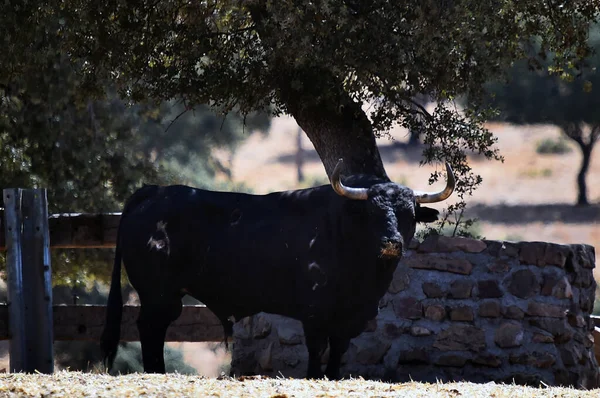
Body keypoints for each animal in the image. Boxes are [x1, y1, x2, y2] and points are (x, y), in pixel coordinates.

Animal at [102, 159, 454, 380]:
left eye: (409, 214)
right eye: (371, 212)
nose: (392, 241)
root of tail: (154, 191)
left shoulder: (349, 317)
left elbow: (338, 352)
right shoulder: (315, 311)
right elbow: (317, 349)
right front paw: (314, 377)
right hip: (159, 295)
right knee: (150, 328)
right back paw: (156, 372)